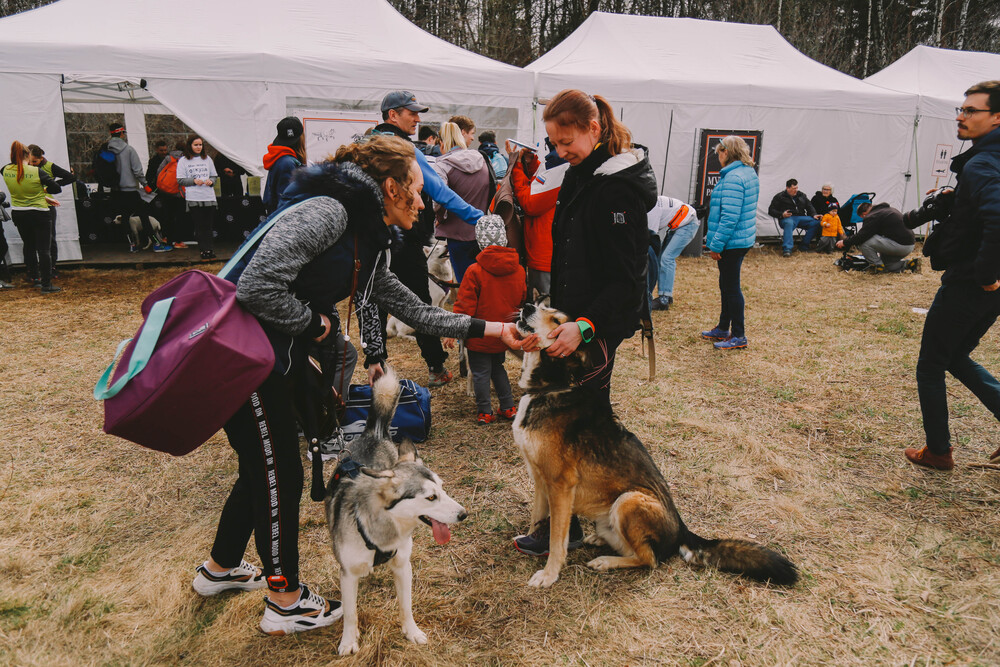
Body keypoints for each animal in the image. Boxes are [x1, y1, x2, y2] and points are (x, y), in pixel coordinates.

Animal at [326, 370, 470, 656]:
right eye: (430, 497)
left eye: (443, 488)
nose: (463, 514)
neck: (383, 530)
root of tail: (373, 431)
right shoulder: (347, 574)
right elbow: (350, 613)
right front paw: (348, 641)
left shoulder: (404, 566)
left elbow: (406, 606)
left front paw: (411, 632)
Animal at [512, 302, 800, 588]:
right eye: (542, 305)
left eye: (557, 321)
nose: (526, 305)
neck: (551, 387)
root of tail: (683, 530)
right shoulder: (540, 478)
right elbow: (537, 517)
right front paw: (532, 539)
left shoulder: (561, 484)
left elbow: (557, 538)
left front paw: (549, 574)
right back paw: (600, 540)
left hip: (629, 500)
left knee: (648, 559)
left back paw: (606, 561)